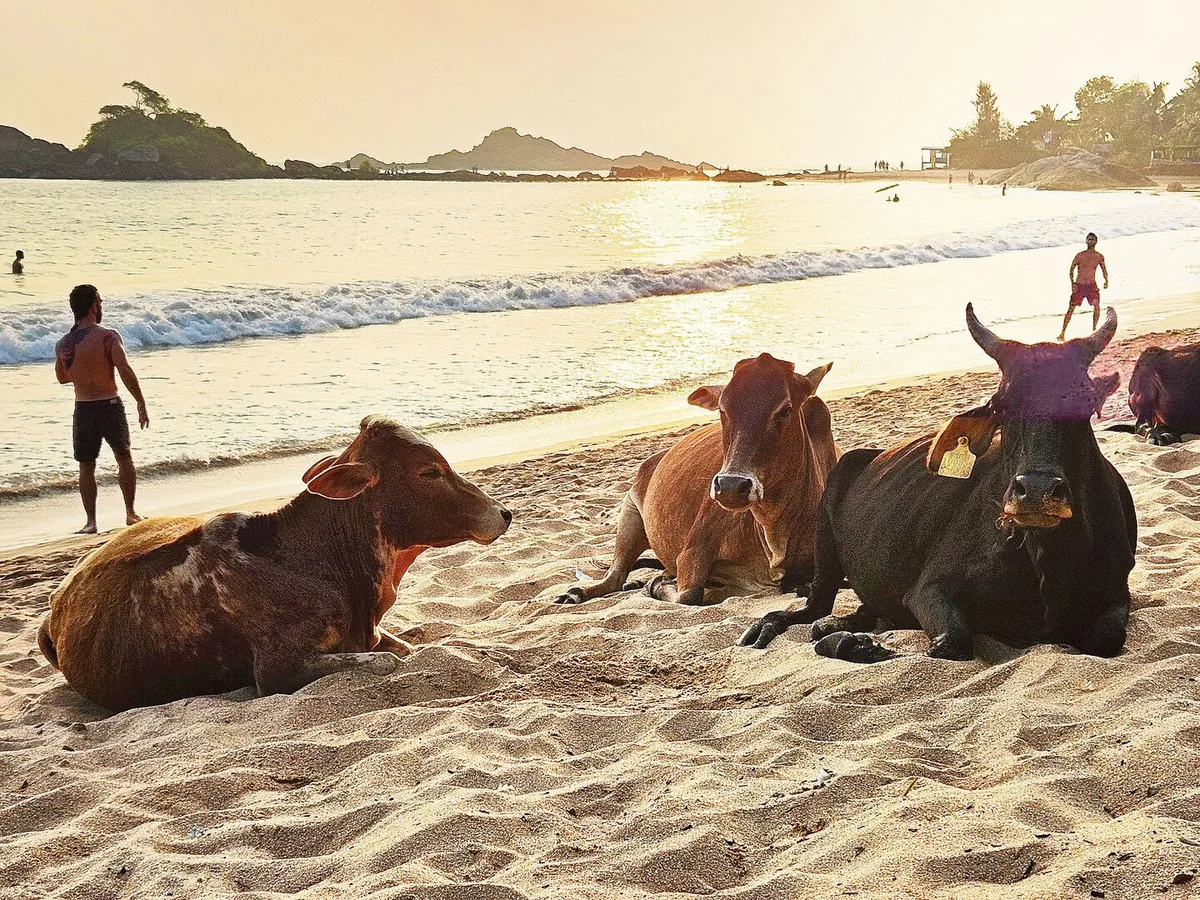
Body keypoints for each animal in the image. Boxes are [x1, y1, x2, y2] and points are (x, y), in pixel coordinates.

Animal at [37, 416, 512, 711]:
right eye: (429, 471)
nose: (504, 513)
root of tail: (55, 608)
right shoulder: (276, 671)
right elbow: (385, 661)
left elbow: (407, 649)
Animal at [556, 353, 839, 607]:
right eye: (723, 410)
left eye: (785, 409)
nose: (731, 487)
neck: (774, 535)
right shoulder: (692, 552)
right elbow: (689, 594)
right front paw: (656, 584)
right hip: (630, 514)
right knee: (614, 577)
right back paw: (579, 593)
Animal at [739, 305, 1135, 663]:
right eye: (1001, 406)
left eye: (1085, 401)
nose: (1036, 491)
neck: (1043, 558)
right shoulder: (929, 591)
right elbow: (951, 643)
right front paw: (853, 645)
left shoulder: (1117, 595)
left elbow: (1105, 638)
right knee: (813, 607)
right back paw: (779, 626)